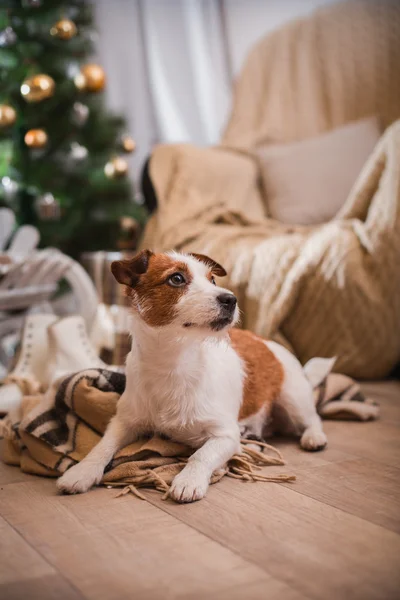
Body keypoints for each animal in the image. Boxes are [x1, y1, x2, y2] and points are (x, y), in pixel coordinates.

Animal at [59, 252, 328, 502]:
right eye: (176, 278)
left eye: (212, 279)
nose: (231, 299)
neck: (173, 363)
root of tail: (266, 341)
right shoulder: (124, 421)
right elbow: (102, 446)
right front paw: (81, 472)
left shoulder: (225, 434)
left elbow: (201, 455)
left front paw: (189, 480)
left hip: (293, 398)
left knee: (312, 418)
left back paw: (314, 437)